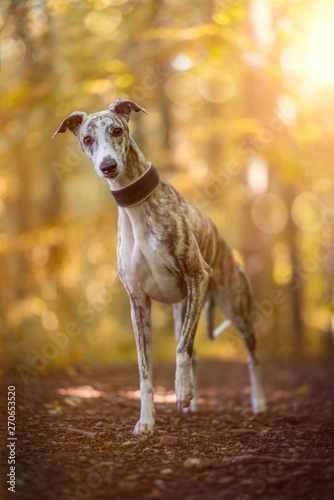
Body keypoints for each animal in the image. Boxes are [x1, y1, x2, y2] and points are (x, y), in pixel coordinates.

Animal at [53, 97, 268, 434]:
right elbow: (145, 372)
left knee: (251, 357)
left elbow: (181, 349)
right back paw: (193, 403)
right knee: (195, 352)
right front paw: (146, 421)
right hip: (184, 309)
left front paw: (180, 391)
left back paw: (257, 402)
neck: (137, 206)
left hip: (235, 309)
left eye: (117, 130)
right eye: (87, 139)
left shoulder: (198, 275)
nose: (108, 166)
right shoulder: (138, 303)